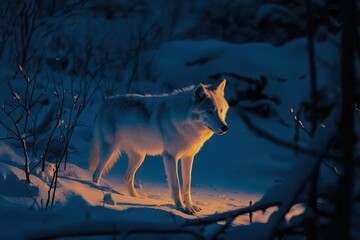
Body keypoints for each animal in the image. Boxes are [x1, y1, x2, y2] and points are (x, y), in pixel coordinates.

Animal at [90, 79, 229, 214]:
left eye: (221, 110)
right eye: (209, 111)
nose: (225, 127)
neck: (185, 120)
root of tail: (105, 101)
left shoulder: (188, 157)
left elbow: (187, 186)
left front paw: (190, 206)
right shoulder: (170, 157)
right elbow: (176, 185)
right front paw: (181, 208)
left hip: (139, 157)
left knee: (126, 178)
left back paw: (136, 198)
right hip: (109, 151)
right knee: (96, 173)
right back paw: (95, 189)